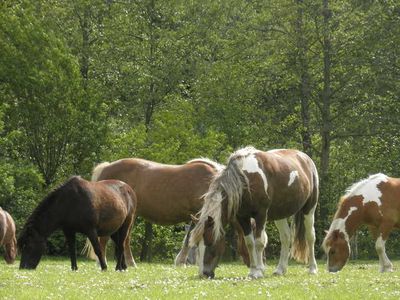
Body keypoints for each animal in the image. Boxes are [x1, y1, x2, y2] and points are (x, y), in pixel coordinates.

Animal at [190, 148, 318, 278]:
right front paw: (253, 271)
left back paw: (312, 268)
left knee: (310, 236)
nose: (203, 274)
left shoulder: (261, 215)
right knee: (286, 237)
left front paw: (259, 271)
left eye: (210, 243)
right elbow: (250, 243)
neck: (245, 180)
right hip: (280, 214)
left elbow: (259, 242)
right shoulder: (242, 217)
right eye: (197, 245)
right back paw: (280, 269)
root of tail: (305, 157)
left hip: (309, 209)